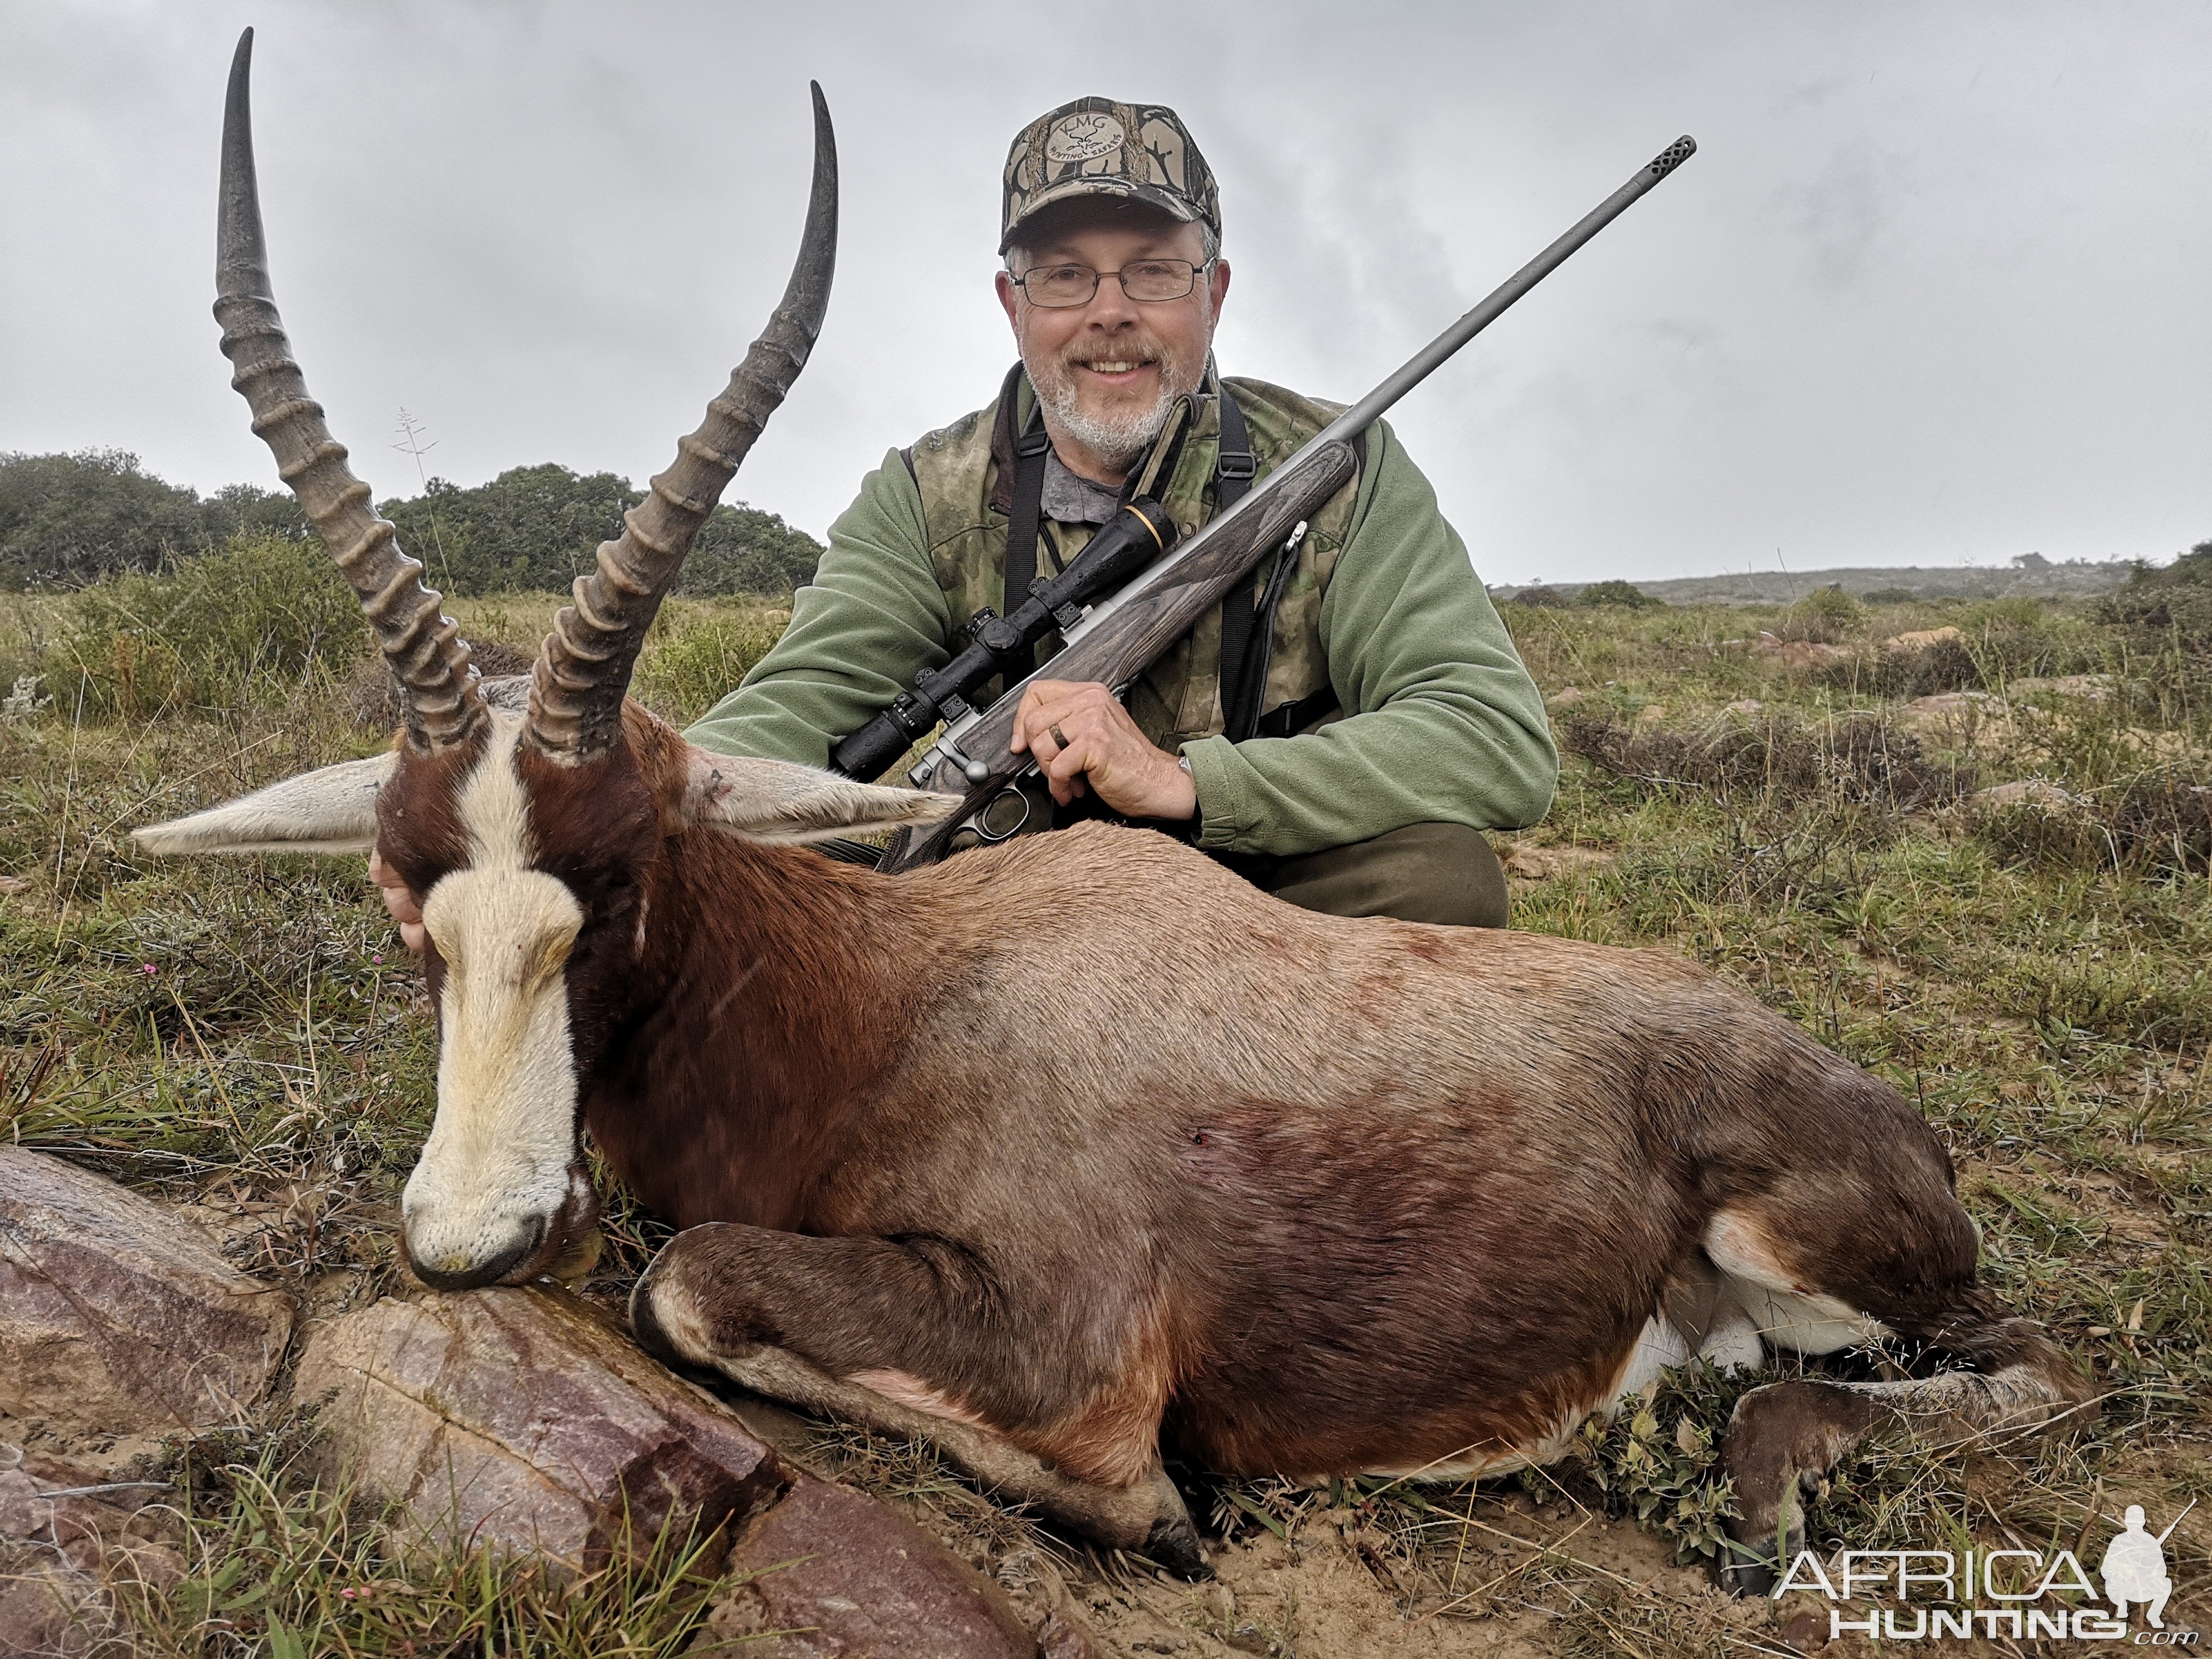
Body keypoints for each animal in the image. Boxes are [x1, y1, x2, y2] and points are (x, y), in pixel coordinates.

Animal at [142, 26, 2088, 1584]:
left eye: (615, 884)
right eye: (409, 902)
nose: (468, 1243)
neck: (893, 996)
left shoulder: (1059, 1338)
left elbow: (691, 1279)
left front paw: (1156, 1514)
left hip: (1838, 1259)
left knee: (2021, 1365)